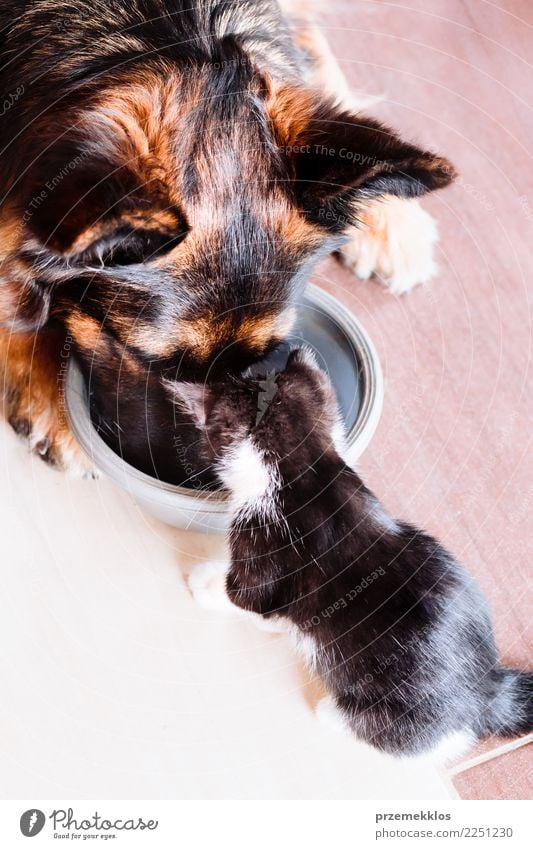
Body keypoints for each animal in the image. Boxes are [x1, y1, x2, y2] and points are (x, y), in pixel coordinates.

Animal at [164, 348, 528, 760]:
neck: (308, 475)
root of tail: (489, 690)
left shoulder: (265, 549)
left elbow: (244, 597)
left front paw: (204, 583)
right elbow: (280, 614)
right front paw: (277, 624)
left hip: (396, 711)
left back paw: (333, 714)